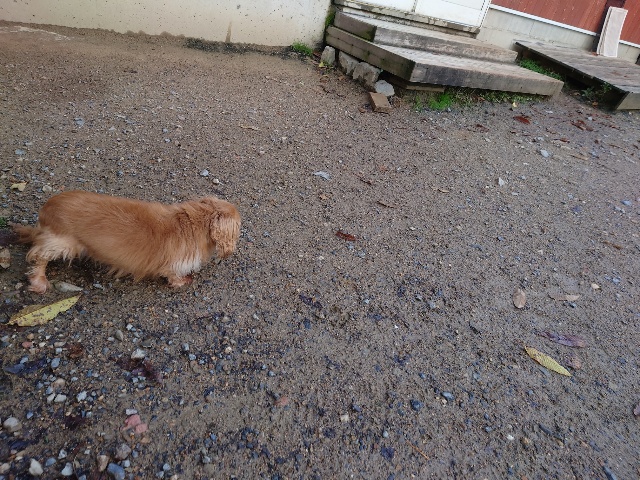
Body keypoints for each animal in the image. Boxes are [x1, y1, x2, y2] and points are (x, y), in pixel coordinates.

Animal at [14, 191, 240, 293]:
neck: (196, 222)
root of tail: (46, 209)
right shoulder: (174, 265)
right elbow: (174, 275)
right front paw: (182, 281)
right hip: (64, 244)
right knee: (38, 255)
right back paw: (39, 280)